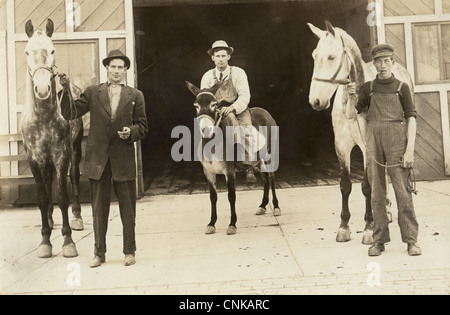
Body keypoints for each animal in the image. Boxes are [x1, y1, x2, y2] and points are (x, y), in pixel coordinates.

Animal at [308, 21, 414, 246]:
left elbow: (367, 186)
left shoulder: (367, 148)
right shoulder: (341, 146)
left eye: (331, 57)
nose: (316, 101)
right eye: (314, 55)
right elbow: (345, 185)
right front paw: (344, 228)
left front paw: (368, 228)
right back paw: (386, 210)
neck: (351, 104)